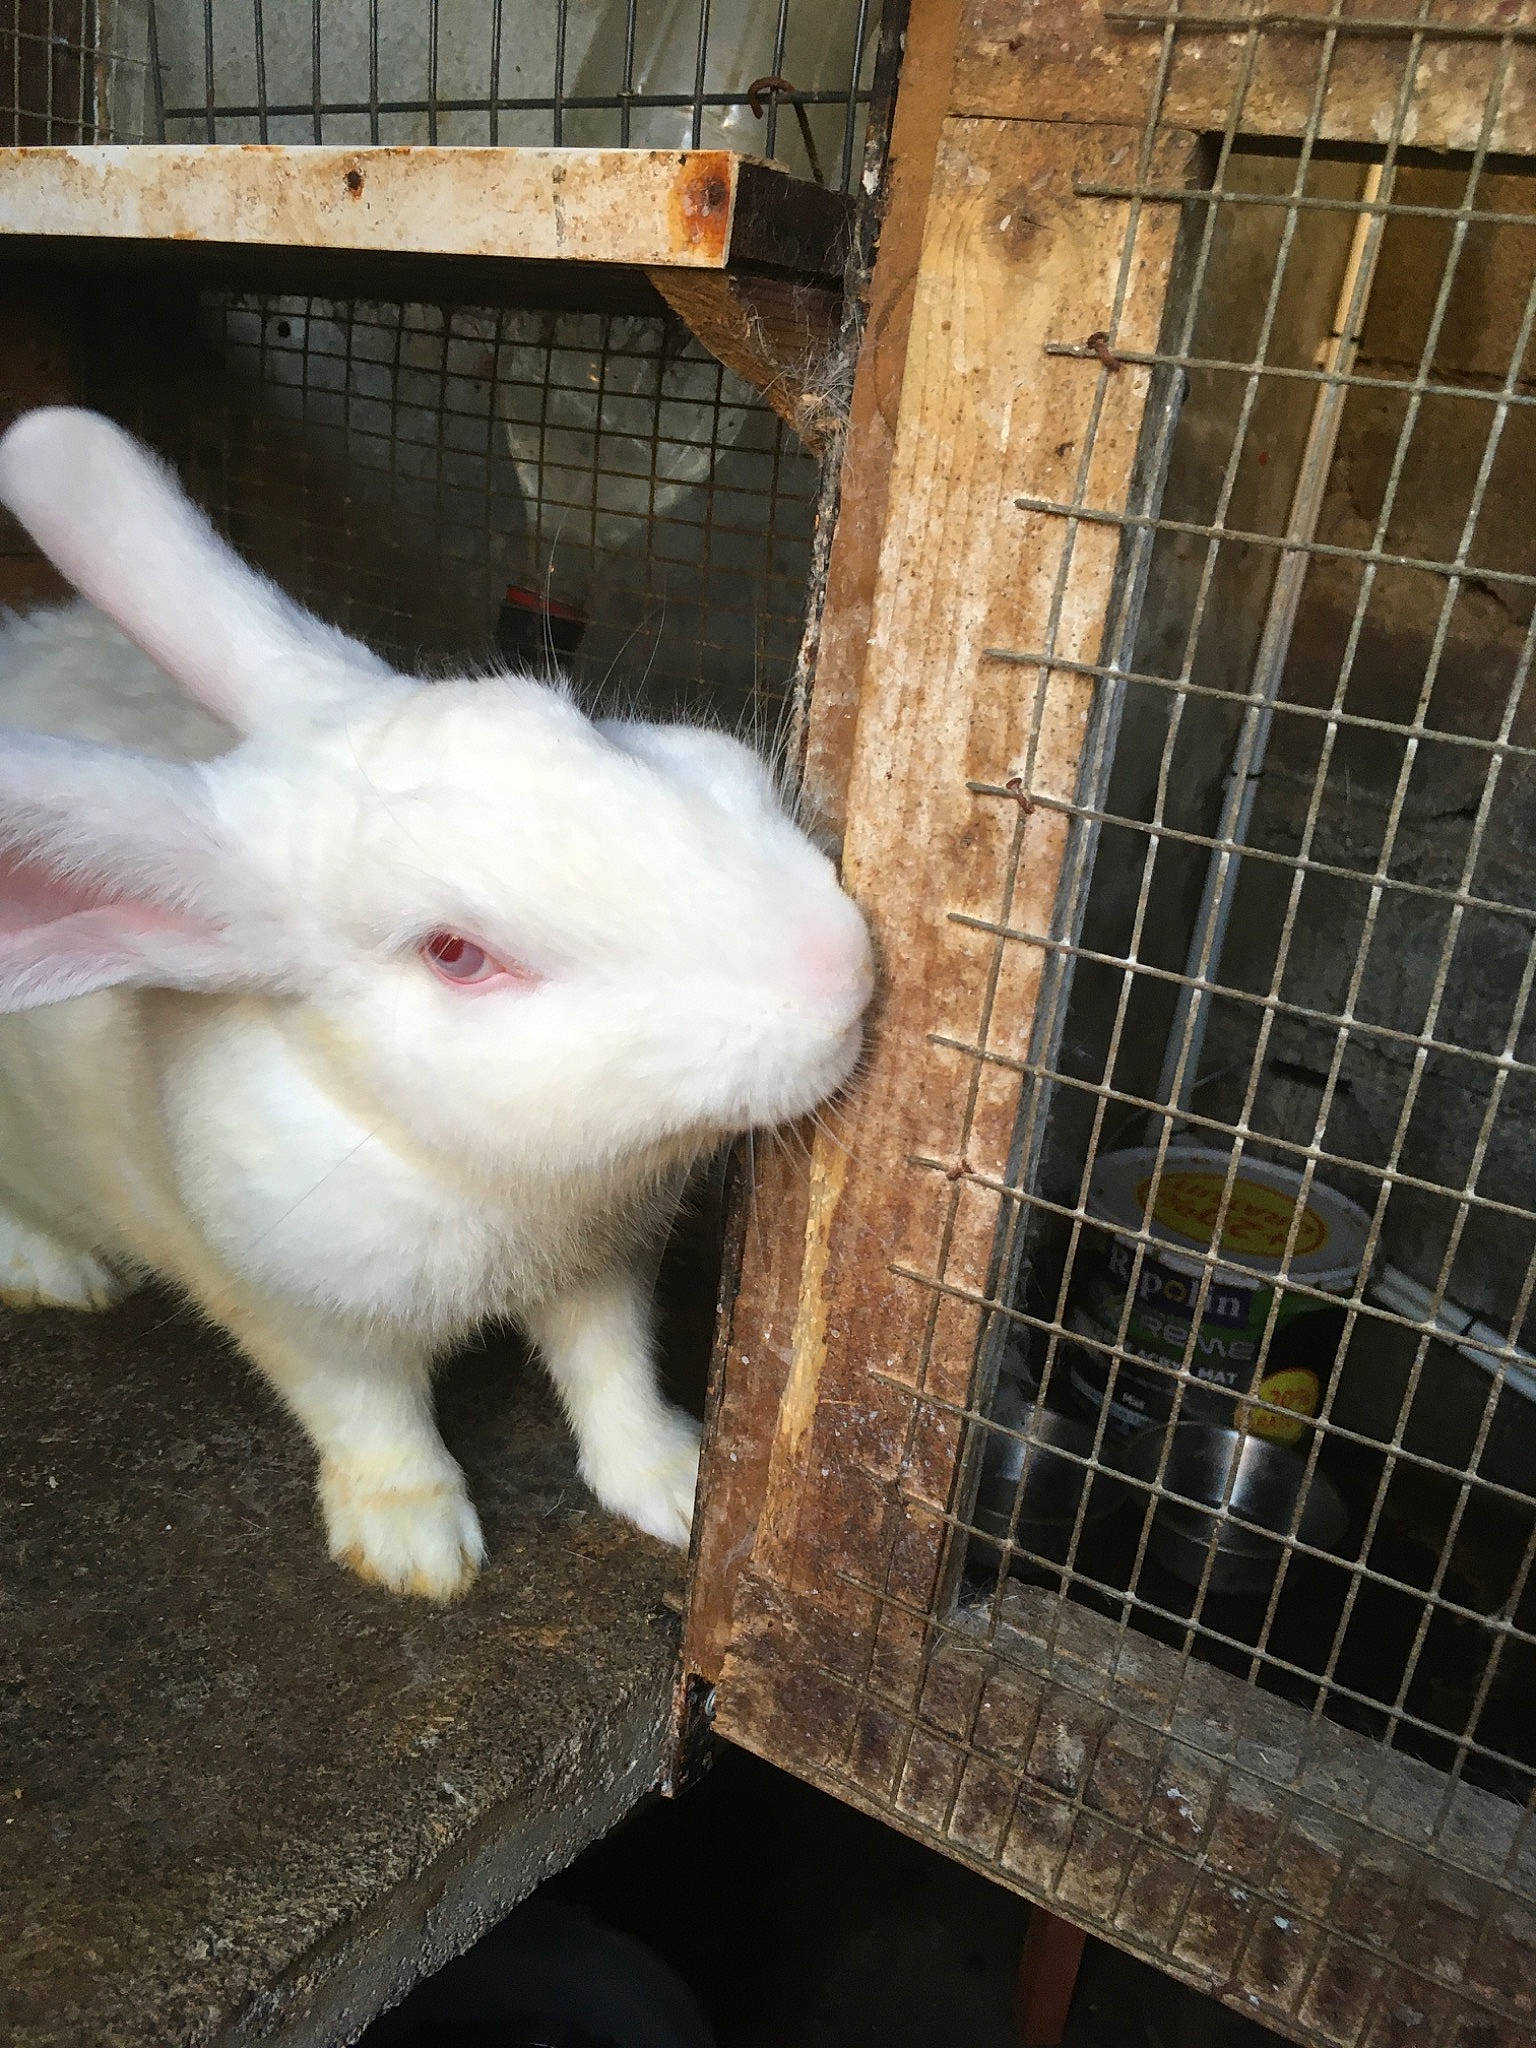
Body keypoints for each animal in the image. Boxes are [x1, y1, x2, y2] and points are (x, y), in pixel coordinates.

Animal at [0, 407, 873, 1599]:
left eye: (578, 725)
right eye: (457, 954)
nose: (842, 967)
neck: (493, 1188)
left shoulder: (601, 1265)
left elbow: (612, 1373)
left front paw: (676, 1484)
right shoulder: (299, 1311)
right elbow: (373, 1421)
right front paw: (417, 1550)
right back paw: (60, 1272)